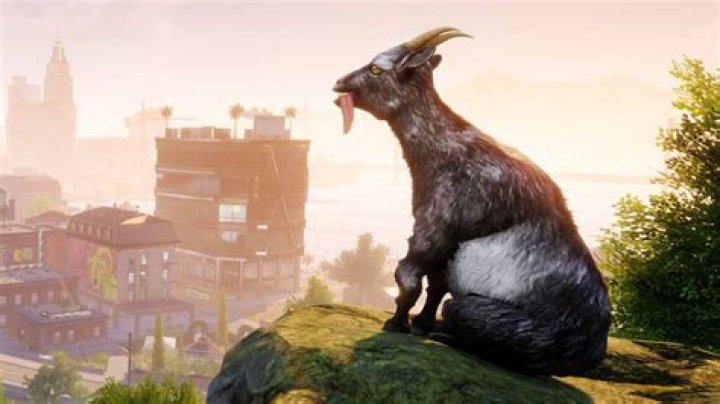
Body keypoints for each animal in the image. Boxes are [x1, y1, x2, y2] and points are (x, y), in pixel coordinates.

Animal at [332, 27, 610, 375]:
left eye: (375, 68)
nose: (338, 83)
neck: (446, 148)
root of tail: (592, 349)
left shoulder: (434, 225)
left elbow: (409, 277)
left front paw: (396, 324)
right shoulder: (449, 242)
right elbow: (436, 283)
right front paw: (421, 324)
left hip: (483, 314)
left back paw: (445, 335)